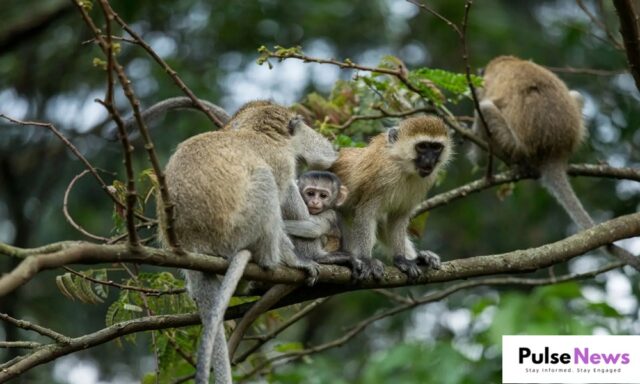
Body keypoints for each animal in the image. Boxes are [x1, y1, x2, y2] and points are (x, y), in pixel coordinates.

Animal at [159, 100, 338, 384]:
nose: (330, 147)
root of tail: (194, 243)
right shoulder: (280, 161)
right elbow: (282, 194)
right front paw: (299, 260)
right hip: (238, 232)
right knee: (267, 182)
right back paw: (278, 259)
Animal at [330, 115, 456, 280]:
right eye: (422, 146)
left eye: (436, 148)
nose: (429, 161)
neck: (402, 165)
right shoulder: (381, 177)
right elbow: (366, 213)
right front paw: (366, 260)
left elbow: (397, 218)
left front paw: (402, 258)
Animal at [472, 54, 636, 270]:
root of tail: (554, 151)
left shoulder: (484, 85)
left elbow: (480, 103)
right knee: (577, 96)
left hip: (513, 144)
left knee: (484, 108)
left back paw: (488, 160)